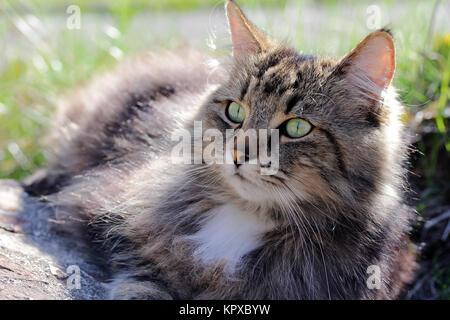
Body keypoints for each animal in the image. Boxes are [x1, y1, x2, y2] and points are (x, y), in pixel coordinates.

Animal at [26, 0, 416, 300]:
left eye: (297, 128)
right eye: (235, 111)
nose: (238, 155)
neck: (247, 214)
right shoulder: (118, 226)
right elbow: (142, 277)